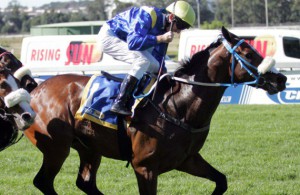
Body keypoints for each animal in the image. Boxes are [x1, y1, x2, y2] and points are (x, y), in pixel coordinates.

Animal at [23, 26, 286, 194]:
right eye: (248, 53)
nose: (281, 78)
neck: (178, 106)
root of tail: (35, 90)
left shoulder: (187, 159)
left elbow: (221, 181)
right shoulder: (145, 167)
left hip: (89, 148)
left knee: (85, 183)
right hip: (57, 148)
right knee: (43, 182)